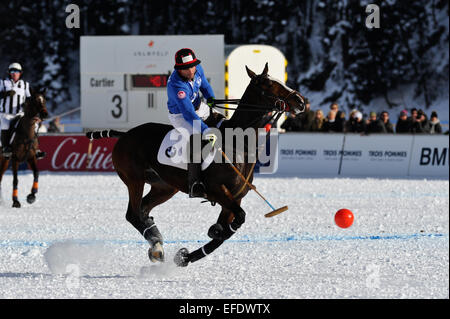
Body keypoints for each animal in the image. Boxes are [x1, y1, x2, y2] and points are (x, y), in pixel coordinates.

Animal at [87, 64, 306, 268]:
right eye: (268, 84)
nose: (301, 101)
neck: (238, 144)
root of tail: (125, 134)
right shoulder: (217, 190)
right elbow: (237, 220)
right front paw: (192, 249)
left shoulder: (235, 197)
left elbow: (226, 231)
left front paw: (187, 255)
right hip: (134, 179)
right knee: (132, 214)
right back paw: (156, 246)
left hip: (164, 186)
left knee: (143, 210)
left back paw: (156, 244)